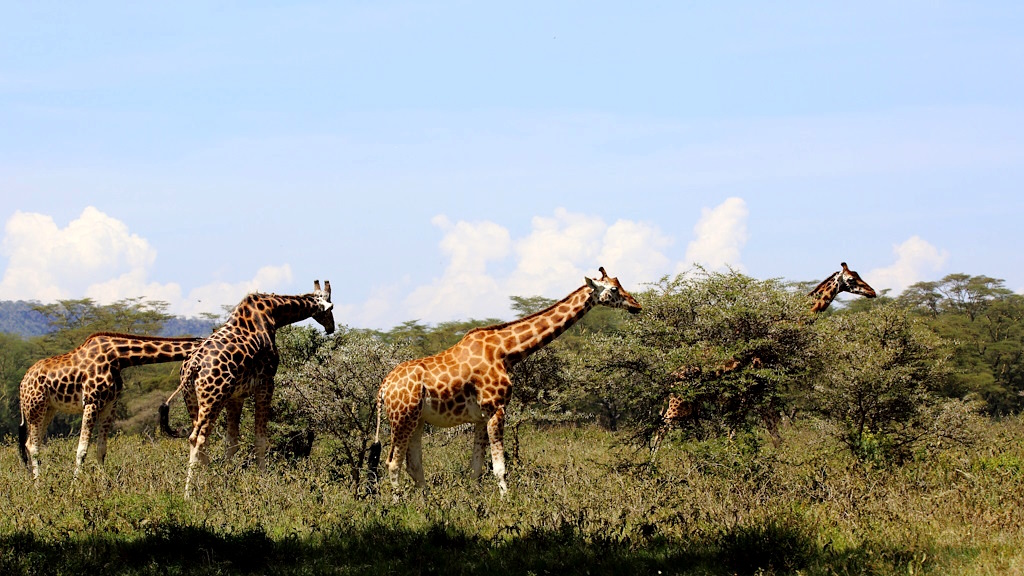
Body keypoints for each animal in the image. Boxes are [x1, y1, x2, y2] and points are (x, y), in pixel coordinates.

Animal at [17, 332, 203, 479]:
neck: (118, 357)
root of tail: (22, 384)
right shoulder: (91, 402)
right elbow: (82, 450)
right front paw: (74, 486)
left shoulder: (110, 404)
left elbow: (101, 449)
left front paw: (105, 485)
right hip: (35, 408)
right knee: (33, 446)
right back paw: (38, 485)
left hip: (48, 409)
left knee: (28, 443)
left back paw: (32, 481)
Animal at [159, 280, 334, 497]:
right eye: (331, 307)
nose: (331, 327)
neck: (273, 313)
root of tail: (194, 365)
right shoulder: (266, 384)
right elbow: (260, 439)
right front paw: (263, 481)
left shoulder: (237, 395)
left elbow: (231, 441)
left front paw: (226, 480)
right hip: (213, 398)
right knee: (197, 439)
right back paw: (189, 494)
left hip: (192, 399)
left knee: (198, 438)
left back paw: (208, 481)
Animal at [370, 267, 642, 496]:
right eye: (614, 289)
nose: (637, 304)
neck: (505, 351)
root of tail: (383, 388)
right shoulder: (497, 408)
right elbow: (500, 468)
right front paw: (506, 502)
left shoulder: (480, 417)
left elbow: (476, 468)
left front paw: (476, 503)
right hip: (402, 418)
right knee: (392, 462)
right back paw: (399, 505)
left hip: (416, 420)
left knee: (414, 464)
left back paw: (427, 505)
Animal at [651, 262, 876, 454]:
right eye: (852, 279)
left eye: (858, 275)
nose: (872, 292)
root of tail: (671, 374)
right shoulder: (751, 391)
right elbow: (738, 430)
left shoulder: (761, 392)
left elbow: (774, 432)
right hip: (680, 399)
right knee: (661, 429)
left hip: (688, 401)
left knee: (662, 426)